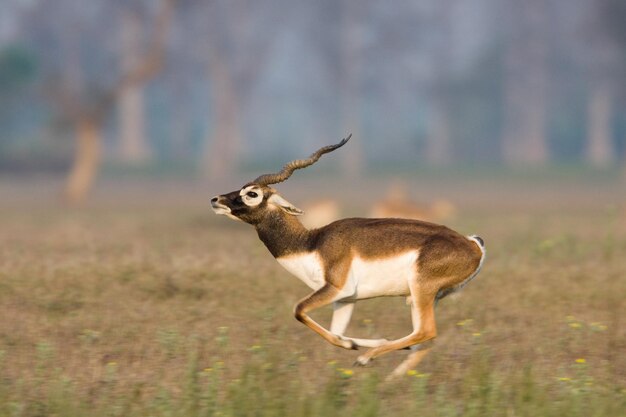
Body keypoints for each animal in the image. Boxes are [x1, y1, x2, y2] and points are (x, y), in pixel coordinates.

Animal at [210, 136, 482, 374]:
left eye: (252, 194)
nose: (216, 199)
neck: (311, 244)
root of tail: (473, 245)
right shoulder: (345, 299)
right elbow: (336, 333)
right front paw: (360, 343)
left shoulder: (336, 288)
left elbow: (299, 310)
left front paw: (359, 348)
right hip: (419, 298)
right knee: (422, 340)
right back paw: (390, 377)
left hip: (421, 290)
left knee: (427, 332)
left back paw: (366, 359)